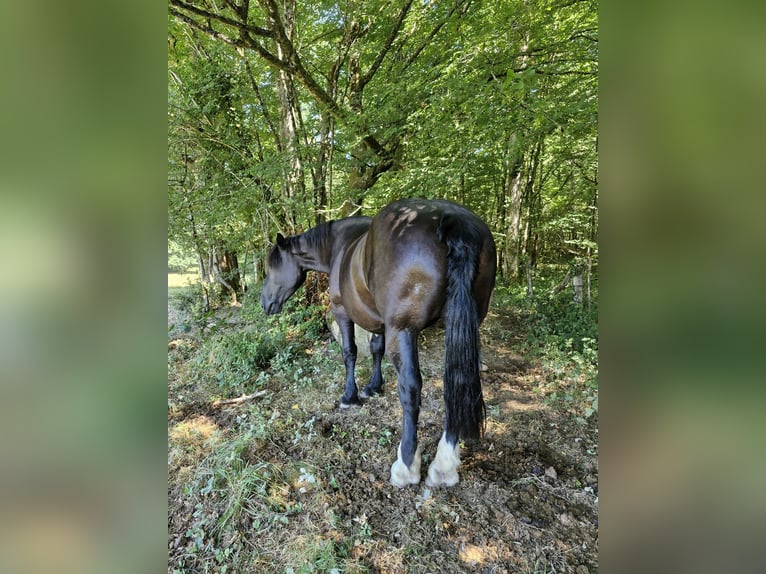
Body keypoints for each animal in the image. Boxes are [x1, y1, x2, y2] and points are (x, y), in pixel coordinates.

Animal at [260, 198, 496, 487]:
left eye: (273, 266)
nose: (264, 302)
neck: (339, 246)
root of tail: (453, 220)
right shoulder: (380, 322)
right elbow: (376, 350)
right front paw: (373, 386)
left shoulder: (343, 312)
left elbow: (350, 352)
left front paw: (349, 396)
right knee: (456, 381)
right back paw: (445, 464)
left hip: (403, 330)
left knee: (411, 388)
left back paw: (407, 464)